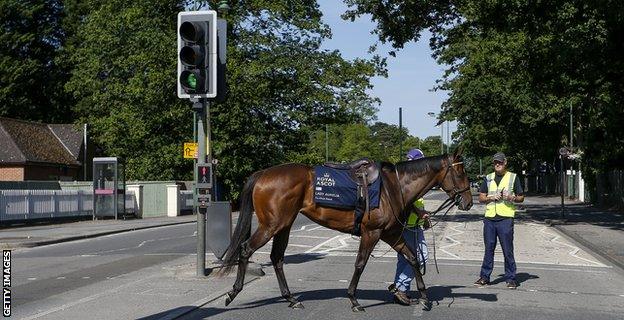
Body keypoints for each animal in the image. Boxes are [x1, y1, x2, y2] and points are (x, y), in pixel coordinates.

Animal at [222, 149, 470, 312]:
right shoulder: (372, 233)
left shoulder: (390, 234)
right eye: (460, 172)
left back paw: (291, 298)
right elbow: (360, 264)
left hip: (284, 225)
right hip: (271, 226)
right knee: (246, 250)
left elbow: (413, 259)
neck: (394, 187)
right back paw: (233, 292)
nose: (468, 201)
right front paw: (353, 299)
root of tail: (263, 174)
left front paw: (424, 298)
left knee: (277, 258)